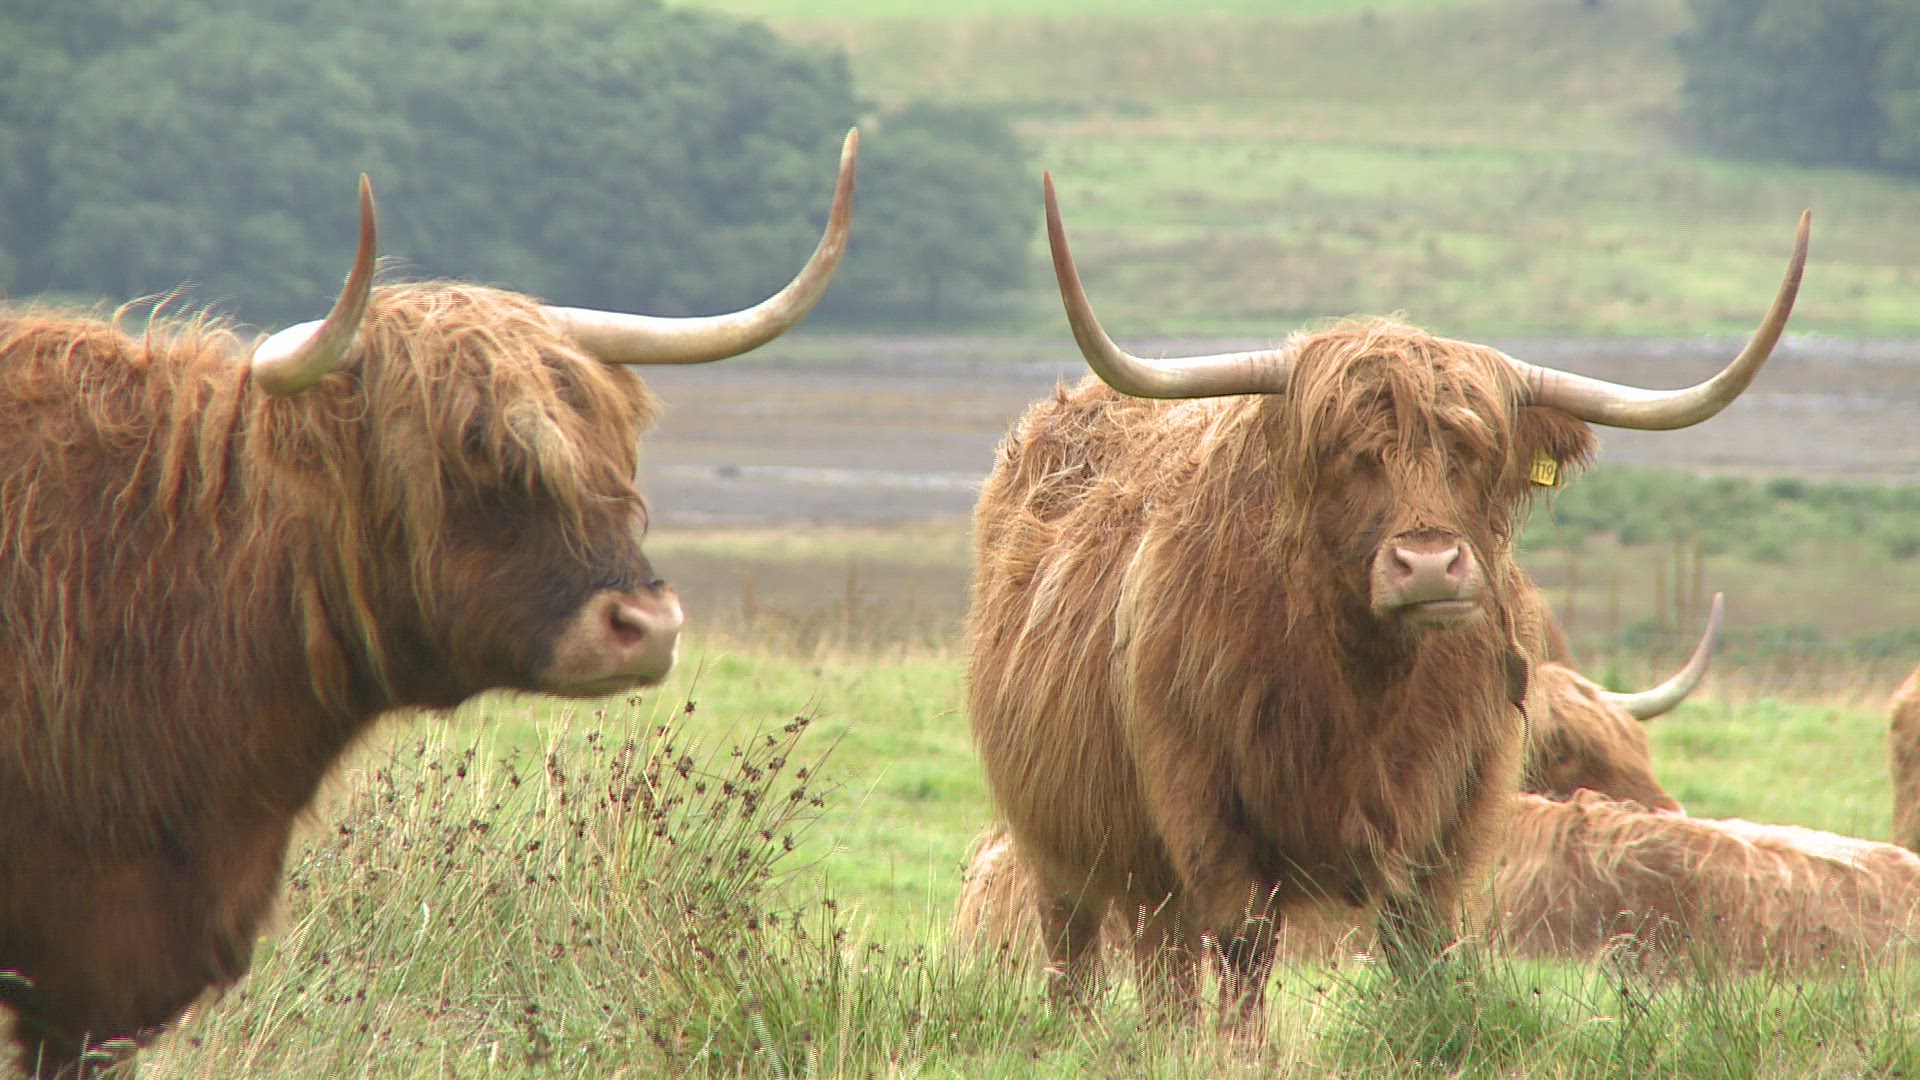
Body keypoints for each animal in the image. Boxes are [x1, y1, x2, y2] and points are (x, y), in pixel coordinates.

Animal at [964, 171, 1807, 1022]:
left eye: (1472, 453)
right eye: (1348, 455)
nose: (1429, 566)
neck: (1364, 688)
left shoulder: (1447, 823)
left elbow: (1421, 953)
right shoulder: (1206, 817)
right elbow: (1239, 961)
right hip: (1067, 835)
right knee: (1093, 952)